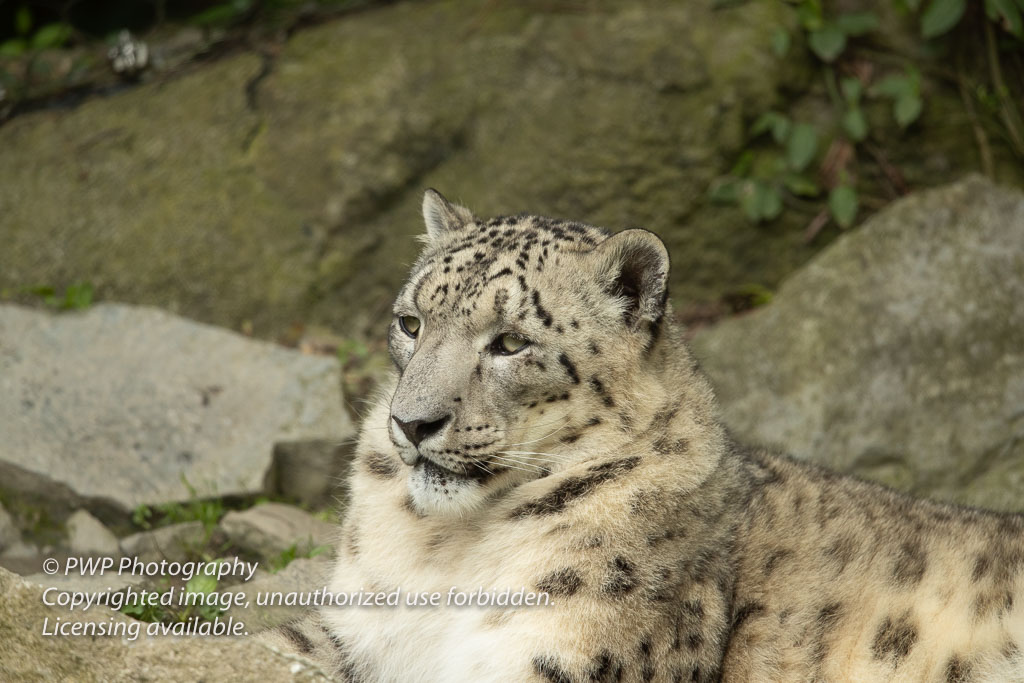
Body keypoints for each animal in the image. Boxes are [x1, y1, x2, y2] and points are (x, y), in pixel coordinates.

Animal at [270, 189, 1024, 679]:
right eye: (411, 322)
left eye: (511, 341)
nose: (412, 421)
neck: (447, 549)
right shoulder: (356, 627)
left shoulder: (561, 652)